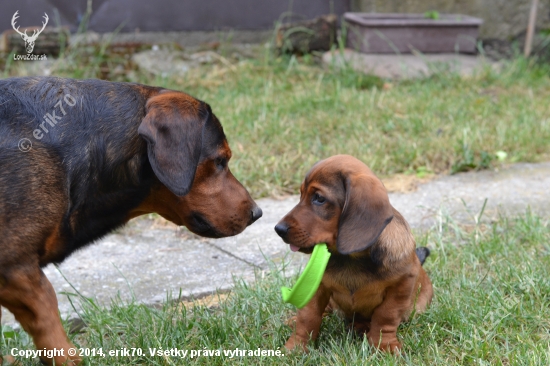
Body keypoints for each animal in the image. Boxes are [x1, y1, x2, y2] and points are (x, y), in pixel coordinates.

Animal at [276, 155, 436, 354]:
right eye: (301, 195)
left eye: (319, 198)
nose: (278, 229)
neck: (351, 258)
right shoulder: (317, 286)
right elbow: (308, 316)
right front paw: (296, 346)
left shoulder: (402, 285)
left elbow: (386, 316)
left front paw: (384, 344)